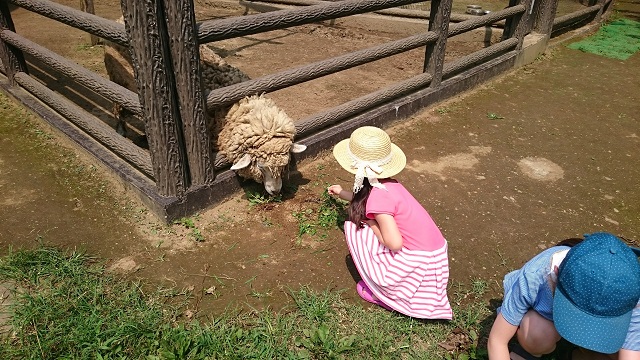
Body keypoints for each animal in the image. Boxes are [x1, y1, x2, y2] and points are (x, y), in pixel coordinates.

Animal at [103, 17, 308, 194]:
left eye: (283, 165)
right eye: (261, 166)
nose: (276, 191)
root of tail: (119, 19)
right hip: (117, 78)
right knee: (117, 104)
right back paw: (121, 129)